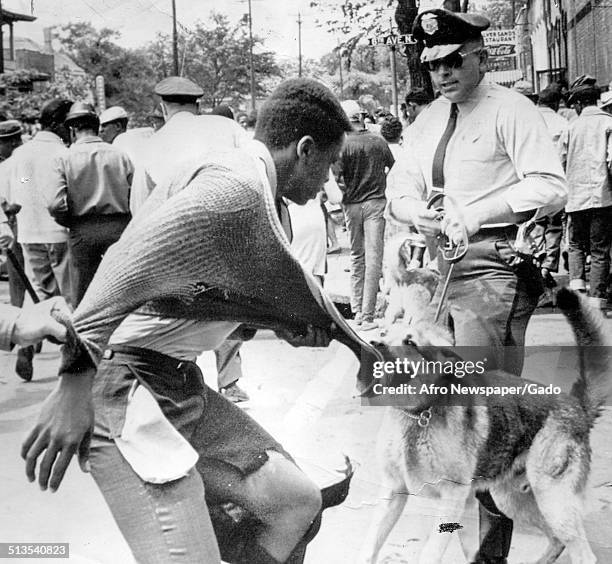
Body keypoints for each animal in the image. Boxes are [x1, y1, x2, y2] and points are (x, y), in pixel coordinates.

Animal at [360, 290, 608, 564]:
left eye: (411, 343)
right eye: (384, 334)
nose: (374, 344)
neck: (420, 414)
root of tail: (576, 404)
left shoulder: (452, 498)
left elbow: (430, 552)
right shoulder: (393, 492)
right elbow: (369, 545)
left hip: (553, 501)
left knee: (583, 554)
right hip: (513, 500)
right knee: (557, 541)